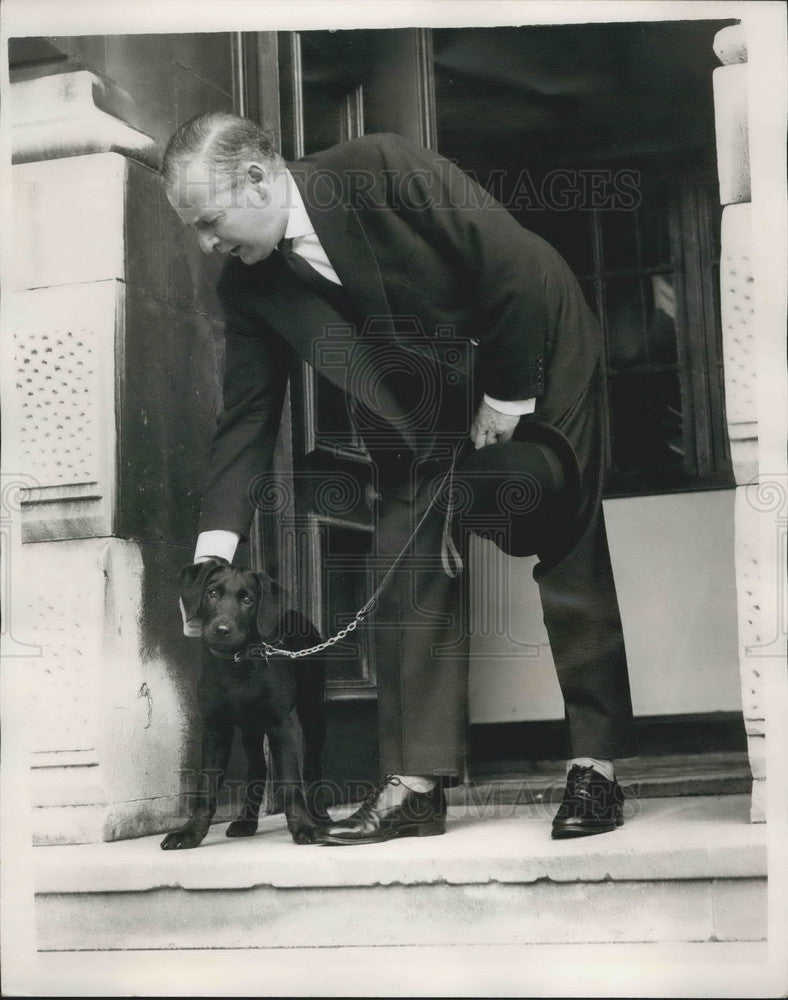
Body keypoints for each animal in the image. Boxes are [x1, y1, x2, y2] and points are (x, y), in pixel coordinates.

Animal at [163, 556, 330, 852]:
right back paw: (246, 821)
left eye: (248, 599)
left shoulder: (279, 725)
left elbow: (290, 782)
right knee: (257, 768)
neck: (236, 663)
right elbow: (206, 787)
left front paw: (303, 827)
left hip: (312, 707)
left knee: (311, 766)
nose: (221, 630)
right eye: (212, 593)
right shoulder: (215, 727)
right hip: (250, 727)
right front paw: (190, 833)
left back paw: (321, 817)